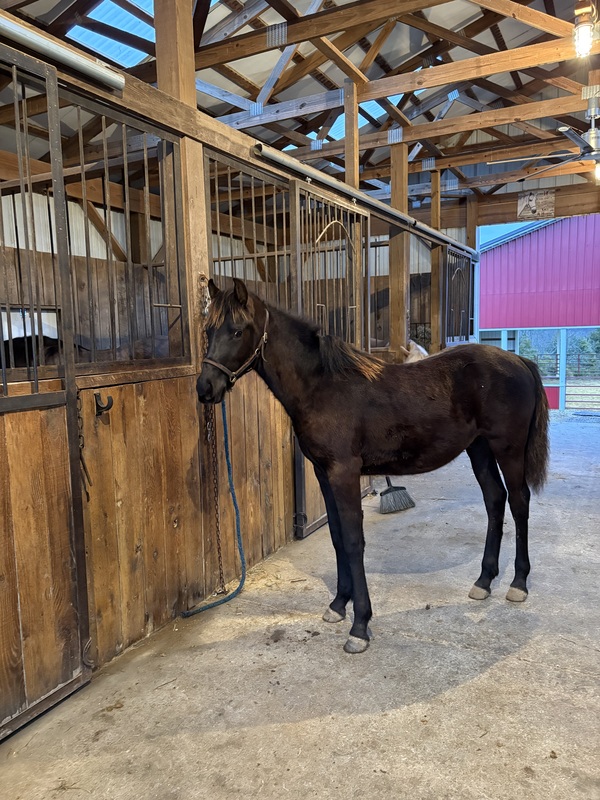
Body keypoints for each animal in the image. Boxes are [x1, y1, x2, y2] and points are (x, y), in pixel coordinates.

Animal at [196, 278, 550, 654]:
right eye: (208, 330)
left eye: (237, 331)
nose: (205, 388)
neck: (323, 386)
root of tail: (519, 361)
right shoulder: (324, 474)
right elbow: (337, 537)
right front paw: (338, 605)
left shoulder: (344, 473)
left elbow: (354, 542)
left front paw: (360, 626)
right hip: (479, 449)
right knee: (495, 500)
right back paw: (484, 581)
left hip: (508, 450)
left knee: (519, 502)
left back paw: (519, 583)